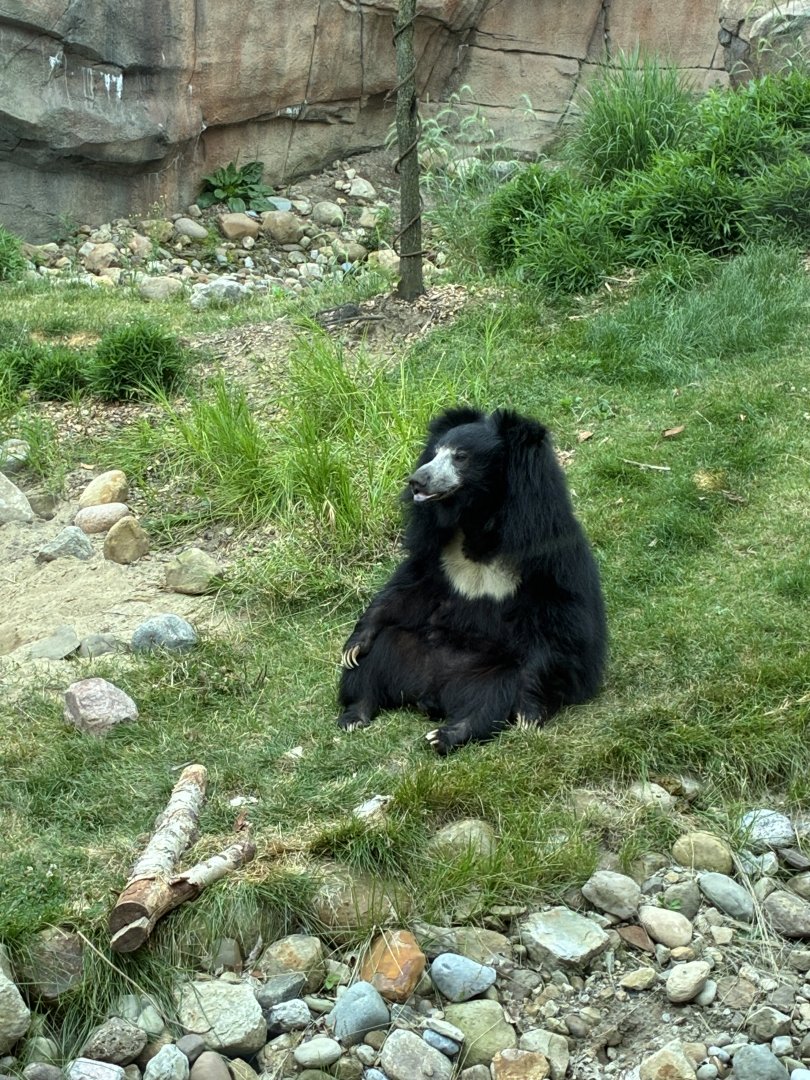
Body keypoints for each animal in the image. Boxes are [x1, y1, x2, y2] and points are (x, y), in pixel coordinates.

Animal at [337, 406, 607, 754]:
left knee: (491, 701)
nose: (416, 481)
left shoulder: (545, 553)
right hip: (402, 651)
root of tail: (431, 693)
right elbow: (405, 591)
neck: (478, 520)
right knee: (372, 665)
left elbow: (558, 625)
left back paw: (446, 735)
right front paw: (353, 645)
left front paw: (529, 714)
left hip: (492, 673)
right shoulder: (437, 552)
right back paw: (354, 714)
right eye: (435, 453)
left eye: (461, 457)